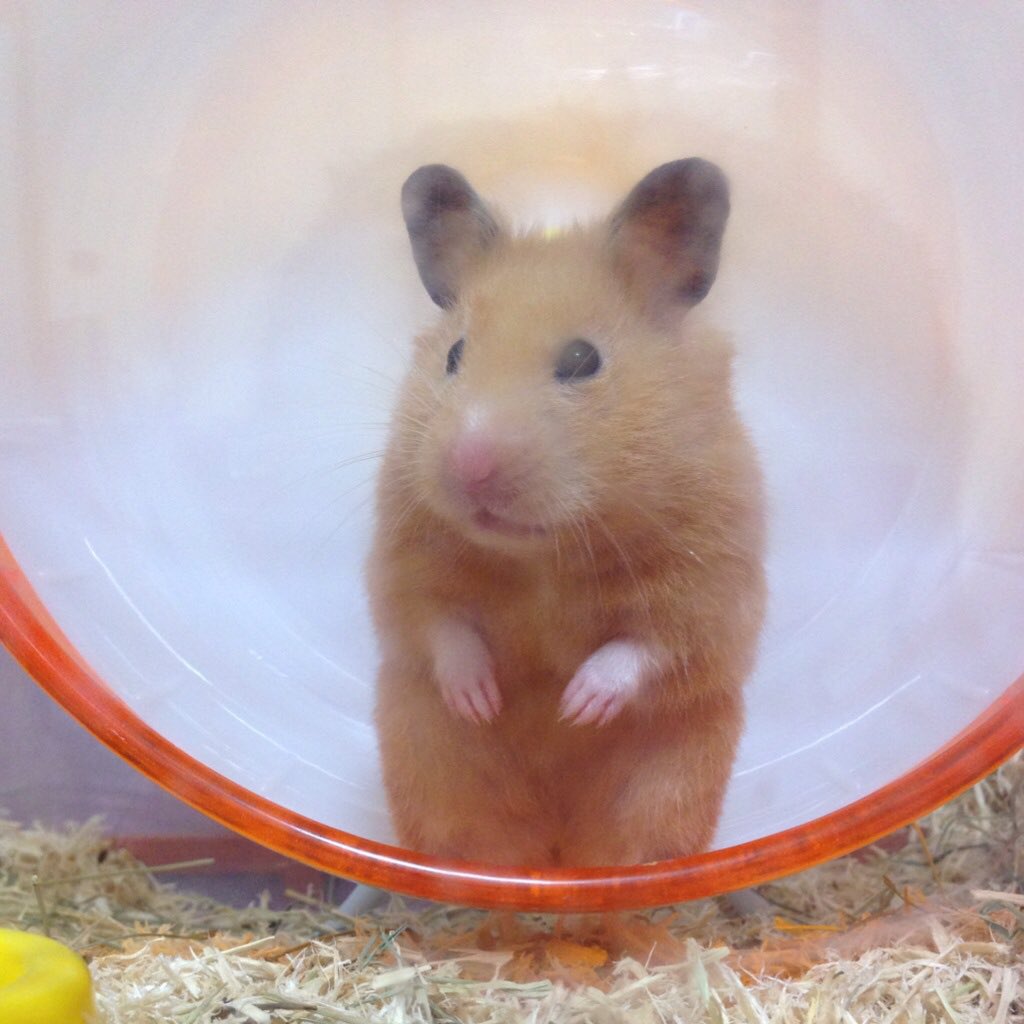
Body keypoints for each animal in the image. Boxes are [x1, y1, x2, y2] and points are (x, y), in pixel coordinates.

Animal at [367, 159, 766, 867]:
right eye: (454, 355)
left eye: (583, 360)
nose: (469, 465)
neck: (541, 555)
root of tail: (556, 853)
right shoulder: (403, 562)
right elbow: (439, 626)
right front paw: (480, 700)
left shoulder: (711, 583)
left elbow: (648, 646)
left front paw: (577, 706)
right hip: (433, 770)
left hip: (671, 781)